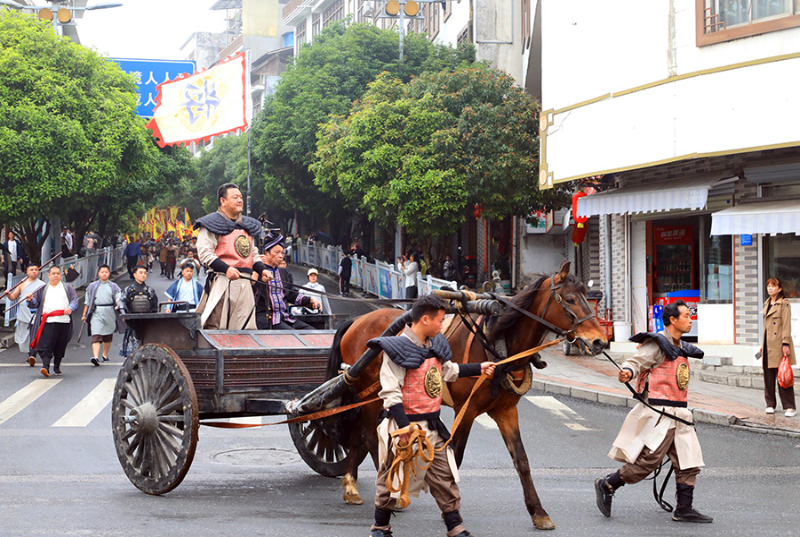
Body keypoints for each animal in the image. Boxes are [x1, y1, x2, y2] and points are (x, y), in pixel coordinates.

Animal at [330, 261, 607, 530]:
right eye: (569, 299)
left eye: (587, 297)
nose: (600, 342)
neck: (498, 345)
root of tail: (357, 320)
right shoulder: (467, 409)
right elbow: (456, 456)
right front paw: (449, 507)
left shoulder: (506, 411)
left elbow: (522, 461)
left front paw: (538, 512)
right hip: (371, 392)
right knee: (367, 435)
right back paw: (372, 487)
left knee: (366, 435)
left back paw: (368, 487)